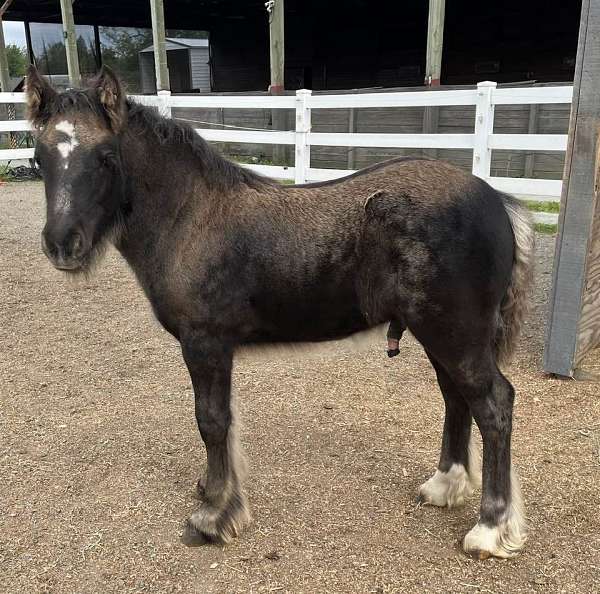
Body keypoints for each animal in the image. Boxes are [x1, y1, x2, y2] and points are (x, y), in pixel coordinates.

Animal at [28, 67, 536, 556]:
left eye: (107, 157)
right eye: (39, 157)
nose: (62, 244)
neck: (188, 216)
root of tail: (499, 202)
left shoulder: (205, 344)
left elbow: (212, 421)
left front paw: (214, 516)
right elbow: (222, 422)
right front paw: (212, 491)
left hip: (454, 334)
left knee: (493, 404)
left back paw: (491, 529)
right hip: (439, 334)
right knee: (456, 398)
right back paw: (445, 486)